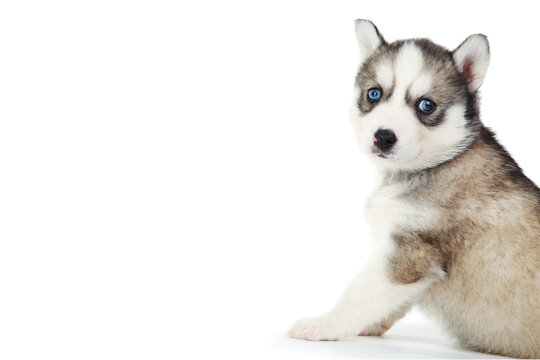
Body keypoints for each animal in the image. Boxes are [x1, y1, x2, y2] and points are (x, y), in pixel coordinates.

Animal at [288, 21, 536, 358]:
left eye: (426, 105)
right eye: (374, 93)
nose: (383, 137)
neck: (437, 163)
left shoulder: (408, 253)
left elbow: (359, 291)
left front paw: (324, 323)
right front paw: (370, 324)